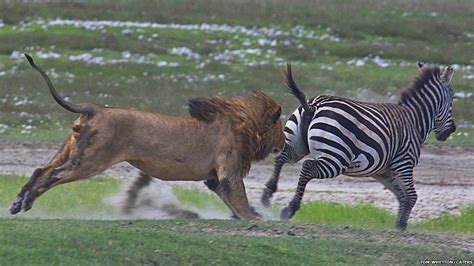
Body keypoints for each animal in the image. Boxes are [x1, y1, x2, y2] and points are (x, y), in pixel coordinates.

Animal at [10, 54, 286, 220]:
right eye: (281, 128)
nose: (284, 143)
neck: (244, 125)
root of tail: (95, 108)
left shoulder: (213, 179)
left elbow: (232, 200)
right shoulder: (228, 171)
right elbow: (238, 196)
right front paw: (257, 219)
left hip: (72, 149)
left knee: (40, 170)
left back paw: (17, 203)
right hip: (91, 160)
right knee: (54, 175)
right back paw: (26, 203)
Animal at [262, 63, 458, 230]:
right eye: (452, 100)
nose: (452, 130)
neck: (415, 121)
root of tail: (314, 105)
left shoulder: (383, 172)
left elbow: (401, 195)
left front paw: (398, 224)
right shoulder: (404, 163)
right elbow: (411, 196)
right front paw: (402, 226)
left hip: (297, 145)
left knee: (281, 157)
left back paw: (267, 194)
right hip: (337, 159)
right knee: (307, 167)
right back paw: (290, 208)